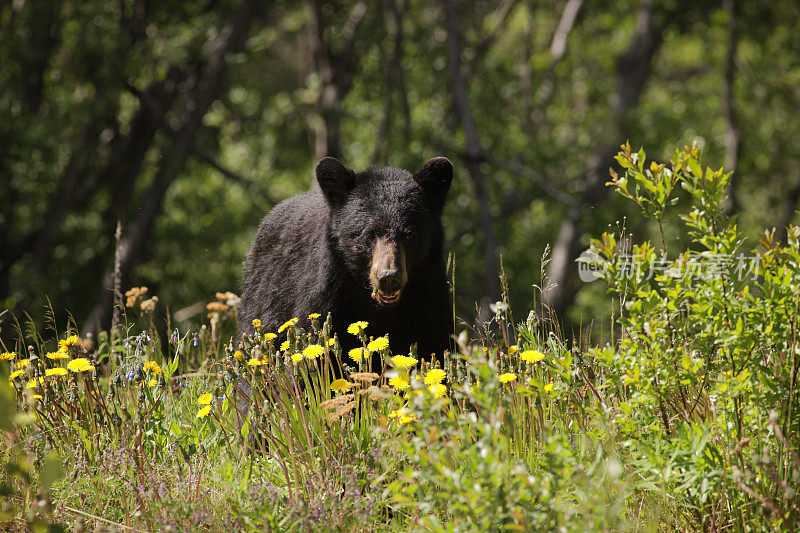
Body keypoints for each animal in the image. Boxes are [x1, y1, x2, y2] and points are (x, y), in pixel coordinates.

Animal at [238, 155, 454, 362]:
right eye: (369, 234)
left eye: (409, 235)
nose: (389, 277)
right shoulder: (328, 297)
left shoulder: (429, 300)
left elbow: (434, 345)